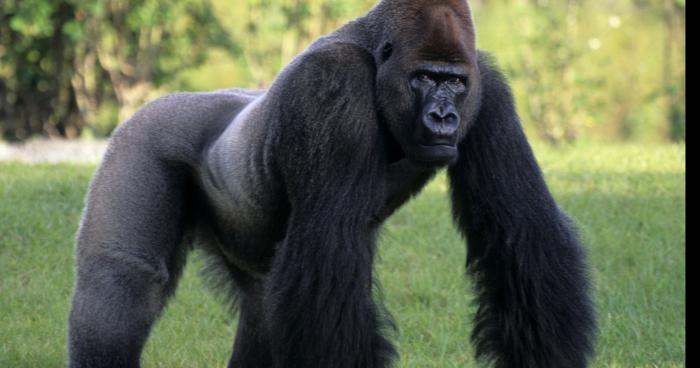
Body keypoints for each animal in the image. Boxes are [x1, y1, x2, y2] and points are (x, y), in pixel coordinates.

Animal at [69, 0, 596, 368]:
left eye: (455, 82)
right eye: (425, 78)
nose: (444, 117)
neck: (374, 53)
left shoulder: (488, 87)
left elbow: (518, 229)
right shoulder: (333, 87)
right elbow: (330, 249)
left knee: (262, 312)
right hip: (142, 138)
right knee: (123, 284)